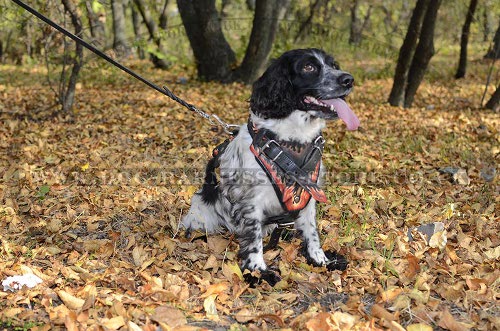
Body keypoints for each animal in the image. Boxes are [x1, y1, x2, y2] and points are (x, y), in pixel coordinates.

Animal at [183, 48, 360, 286]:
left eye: (333, 65)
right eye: (309, 67)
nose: (348, 79)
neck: (292, 140)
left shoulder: (308, 193)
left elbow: (312, 232)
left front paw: (321, 260)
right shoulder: (251, 200)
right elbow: (254, 238)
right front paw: (257, 271)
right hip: (202, 215)